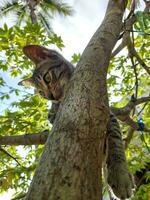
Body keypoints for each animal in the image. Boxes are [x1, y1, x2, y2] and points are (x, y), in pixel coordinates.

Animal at [19, 44, 132, 199]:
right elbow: (53, 115)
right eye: (42, 94)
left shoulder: (109, 114)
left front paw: (120, 175)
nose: (51, 97)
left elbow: (116, 143)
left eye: (47, 78)